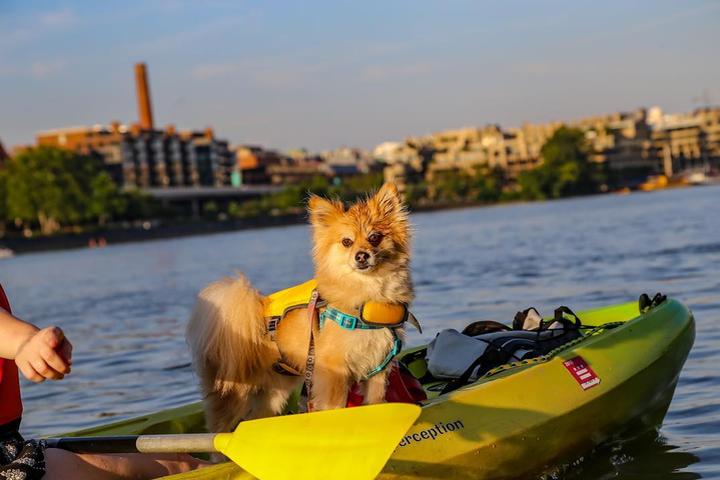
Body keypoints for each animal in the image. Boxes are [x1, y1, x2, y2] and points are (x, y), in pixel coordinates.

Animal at [187, 183, 410, 432]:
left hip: (274, 392)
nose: (361, 256)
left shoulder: (377, 369)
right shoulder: (334, 373)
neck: (368, 294)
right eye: (346, 242)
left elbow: (376, 403)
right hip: (234, 392)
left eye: (374, 237)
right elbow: (336, 408)